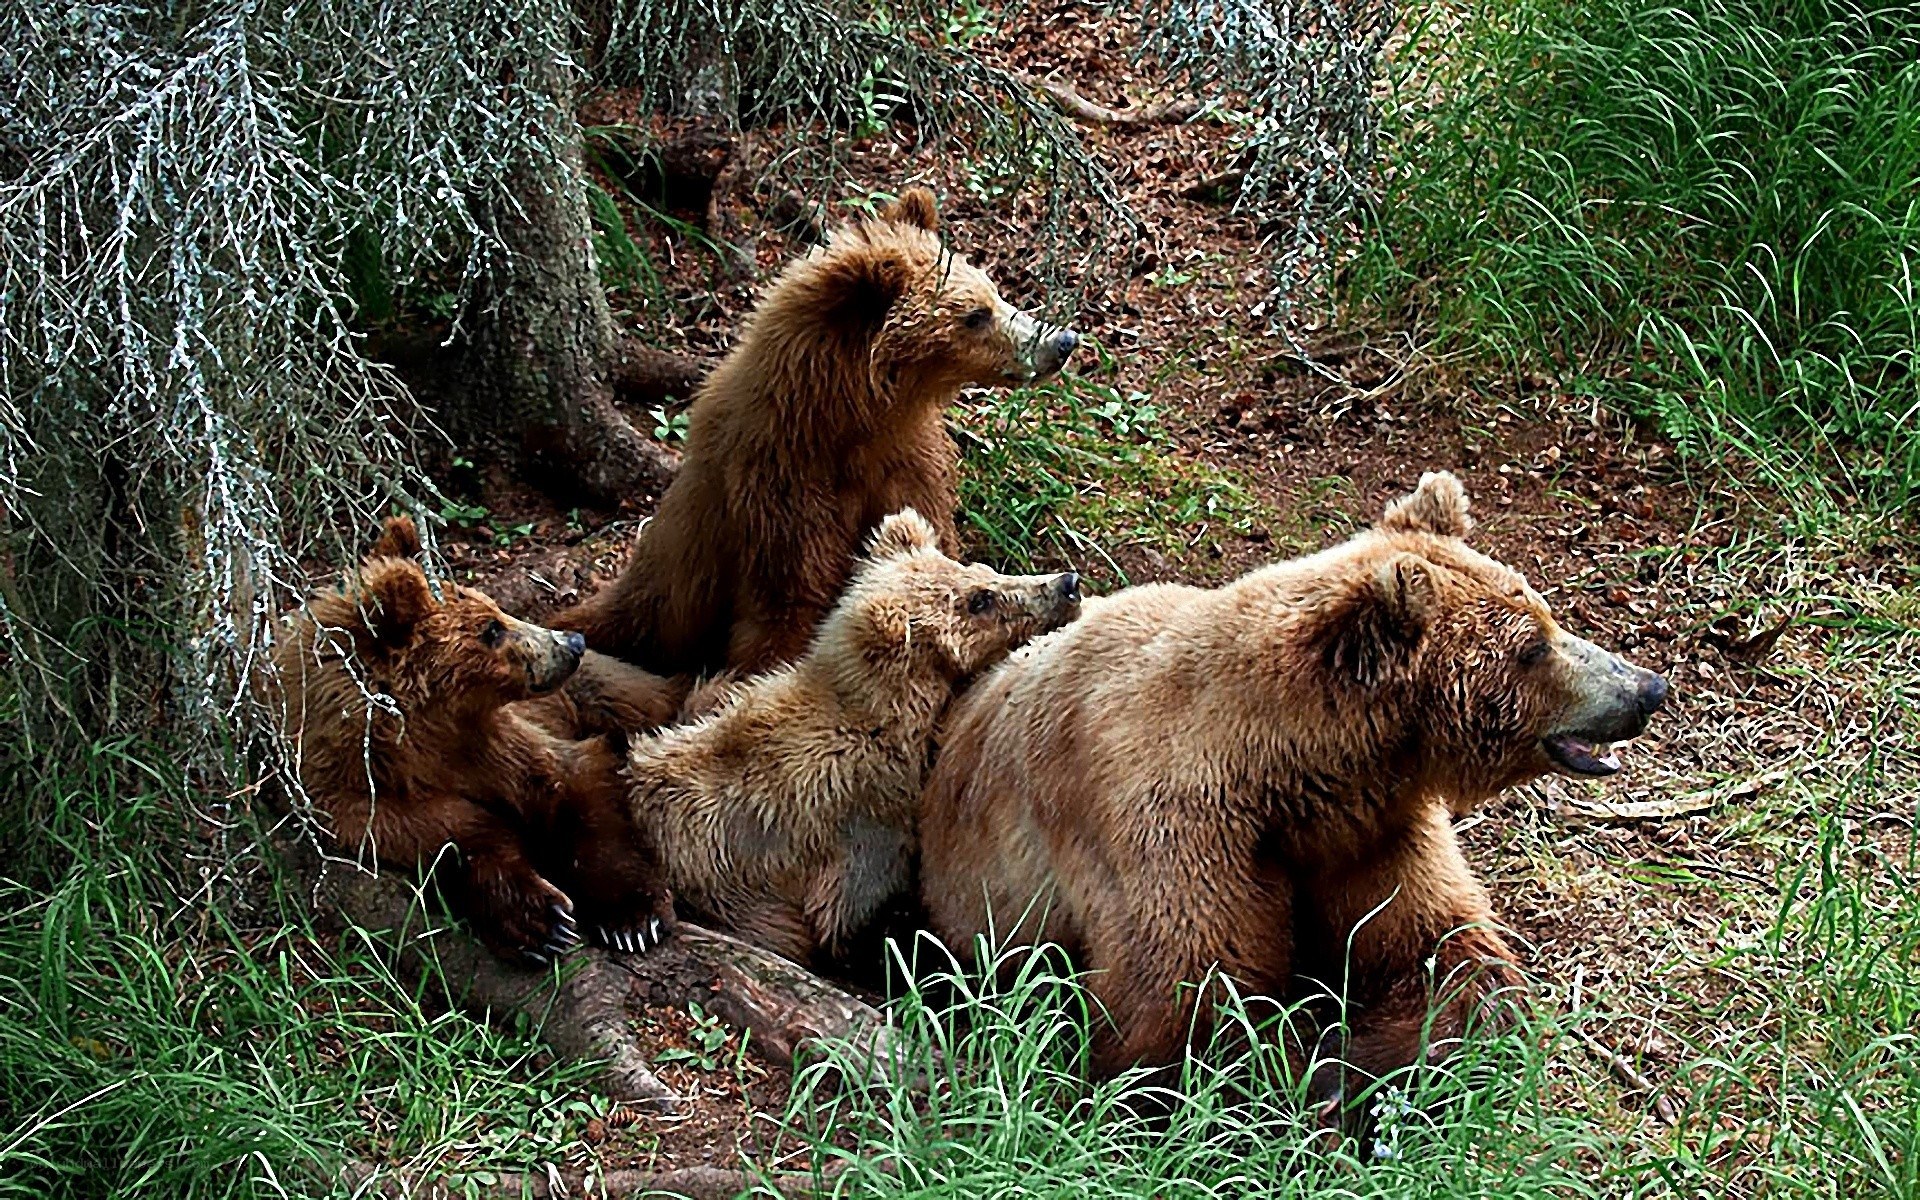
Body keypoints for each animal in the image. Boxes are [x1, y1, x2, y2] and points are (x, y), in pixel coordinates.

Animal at [271, 519, 674, 963]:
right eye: (491, 629)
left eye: (494, 608)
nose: (571, 644)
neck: (420, 740)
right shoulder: (350, 794)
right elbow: (443, 833)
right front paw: (541, 923)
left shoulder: (497, 742)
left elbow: (576, 783)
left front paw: (633, 918)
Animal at [552, 187, 1080, 677]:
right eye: (975, 315)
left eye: (993, 292)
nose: (1062, 340)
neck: (850, 422)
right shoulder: (783, 487)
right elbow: (793, 602)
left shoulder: (905, 464)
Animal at [918, 472, 1667, 1108]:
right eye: (1532, 647)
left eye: (1545, 615)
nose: (1647, 688)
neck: (1287, 770)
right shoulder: (1170, 823)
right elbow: (1190, 1004)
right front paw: (1303, 1072)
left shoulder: (1367, 827)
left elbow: (1438, 948)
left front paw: (1368, 1056)